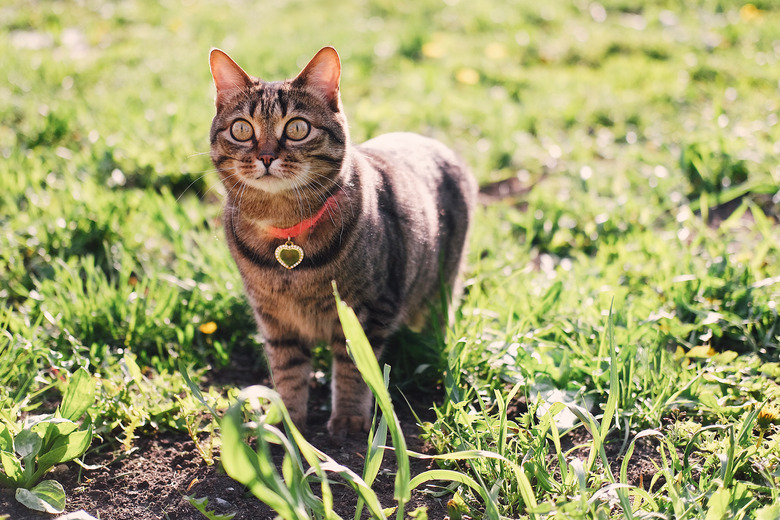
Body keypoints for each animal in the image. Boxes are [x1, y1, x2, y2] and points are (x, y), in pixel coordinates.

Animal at [209, 44, 476, 436]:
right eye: (242, 129)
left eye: (297, 128)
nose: (266, 156)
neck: (285, 229)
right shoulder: (274, 320)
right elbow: (287, 371)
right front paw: (287, 421)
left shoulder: (367, 311)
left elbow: (354, 369)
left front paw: (349, 418)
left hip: (440, 289)